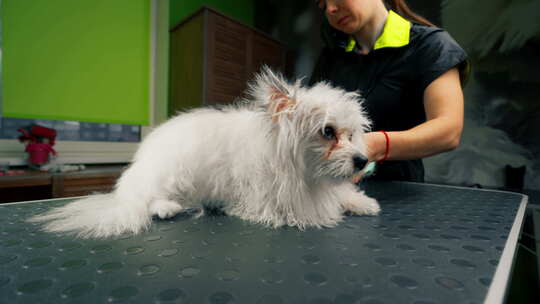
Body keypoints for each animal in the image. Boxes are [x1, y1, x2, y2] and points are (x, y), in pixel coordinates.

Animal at [28, 66, 380, 238]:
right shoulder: (268, 197)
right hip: (174, 176)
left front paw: (361, 203)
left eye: (352, 134)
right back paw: (167, 209)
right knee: (150, 199)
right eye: (327, 132)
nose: (362, 160)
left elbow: (343, 194)